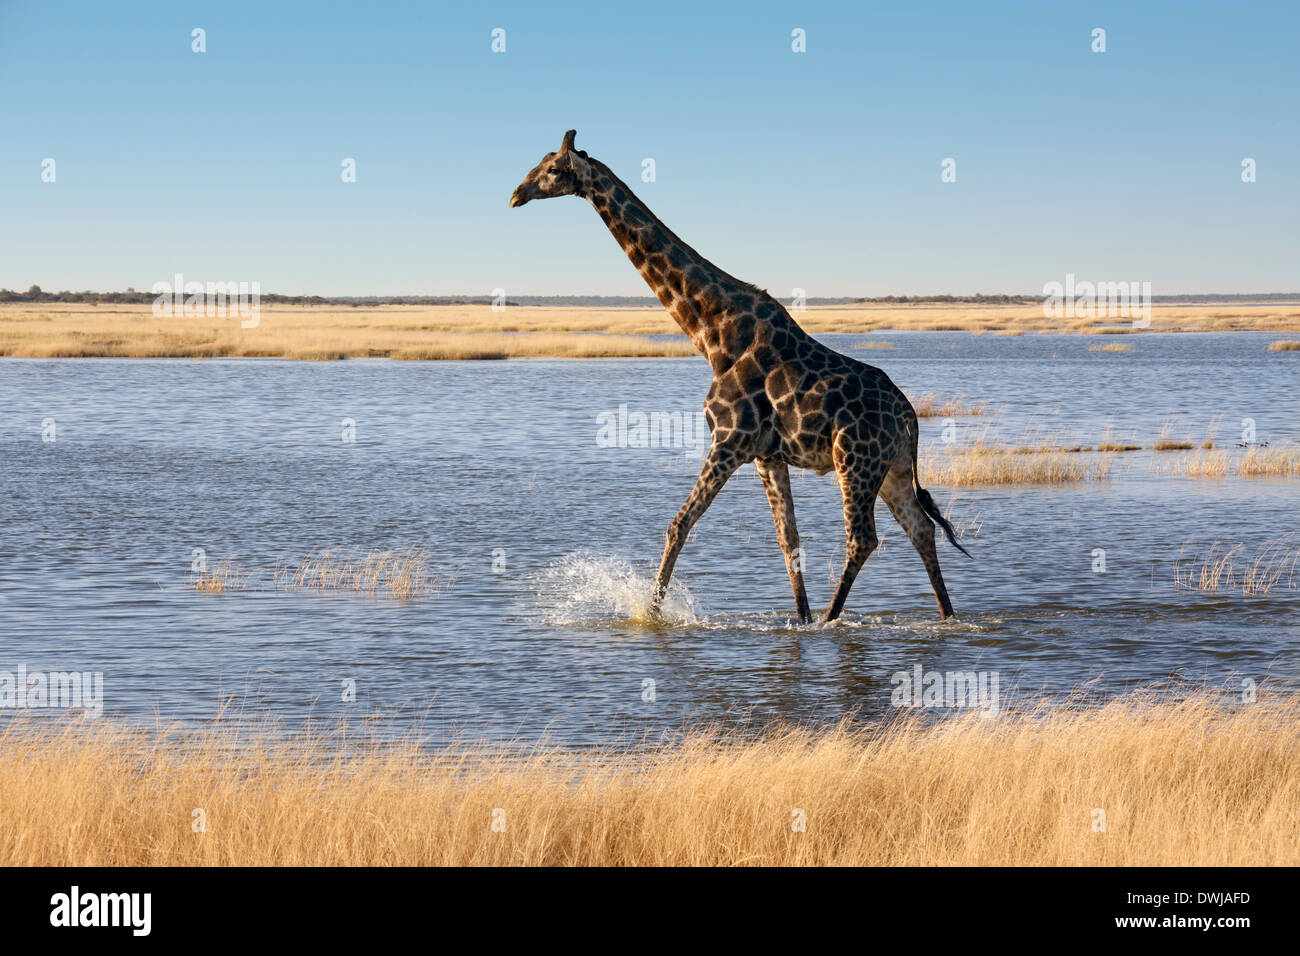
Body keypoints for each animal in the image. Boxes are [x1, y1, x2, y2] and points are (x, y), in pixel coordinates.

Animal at [512, 132, 972, 629]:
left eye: (552, 169)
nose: (516, 194)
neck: (713, 334)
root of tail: (909, 415)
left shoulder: (730, 441)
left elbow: (679, 524)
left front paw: (651, 615)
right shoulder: (767, 456)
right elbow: (789, 543)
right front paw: (800, 621)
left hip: (854, 460)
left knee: (864, 538)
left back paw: (832, 619)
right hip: (892, 468)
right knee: (920, 528)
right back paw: (946, 616)